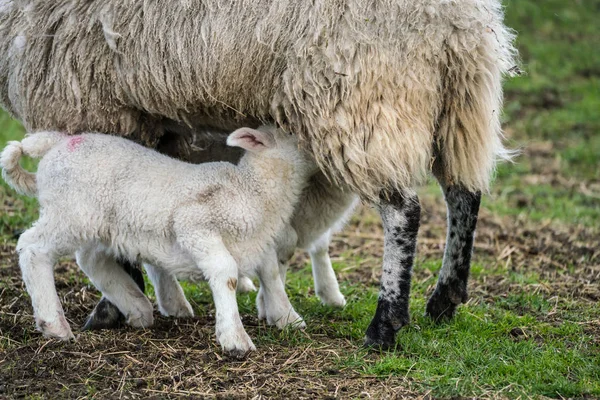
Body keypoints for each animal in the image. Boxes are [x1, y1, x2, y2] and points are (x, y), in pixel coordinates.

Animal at [0, 126, 316, 356]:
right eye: (293, 133)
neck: (254, 190)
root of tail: (58, 142)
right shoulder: (194, 225)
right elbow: (226, 273)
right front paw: (235, 339)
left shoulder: (259, 241)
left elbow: (271, 273)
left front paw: (288, 318)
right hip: (69, 213)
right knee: (33, 248)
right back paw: (55, 325)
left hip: (100, 224)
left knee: (91, 259)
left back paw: (136, 307)